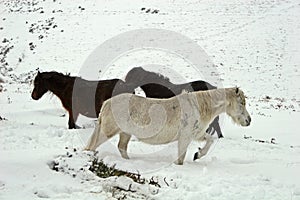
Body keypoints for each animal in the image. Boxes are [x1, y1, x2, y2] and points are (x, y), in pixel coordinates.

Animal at [85, 87, 251, 164]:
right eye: (241, 103)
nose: (248, 120)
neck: (199, 107)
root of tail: (106, 103)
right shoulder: (185, 138)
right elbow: (181, 158)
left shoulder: (196, 134)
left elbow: (210, 140)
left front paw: (198, 154)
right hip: (108, 131)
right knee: (92, 146)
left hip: (125, 133)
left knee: (121, 147)